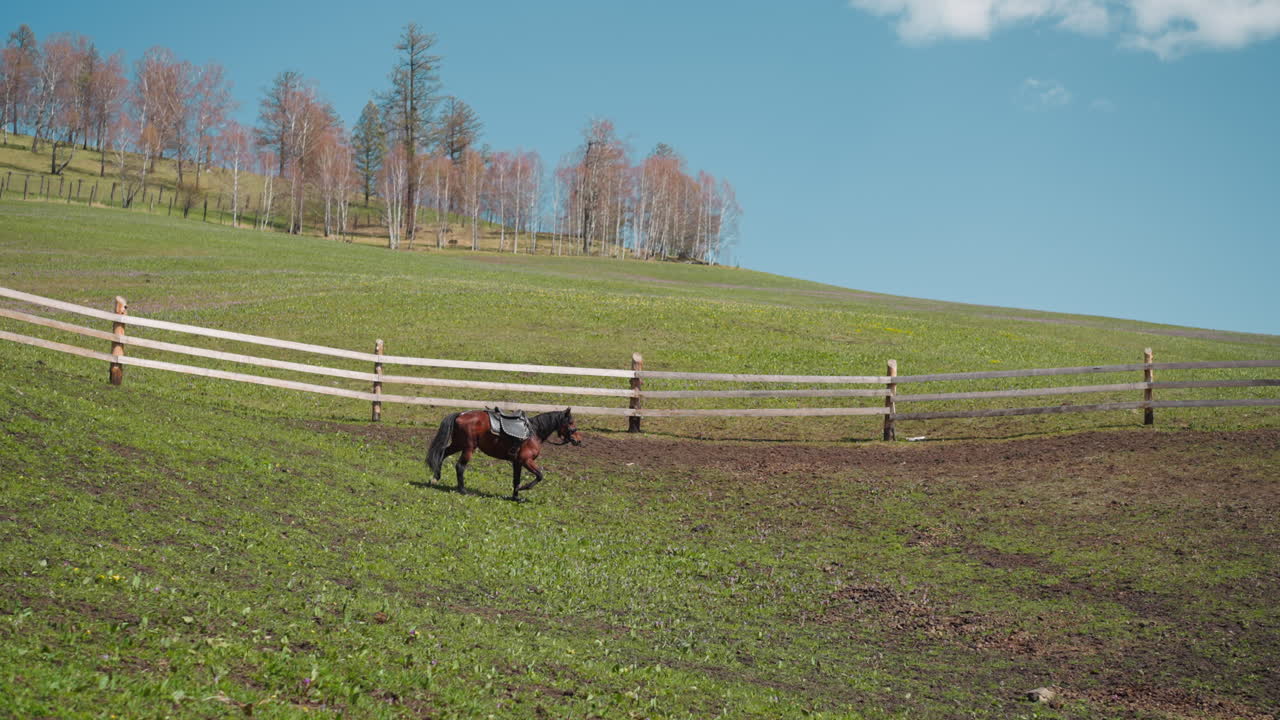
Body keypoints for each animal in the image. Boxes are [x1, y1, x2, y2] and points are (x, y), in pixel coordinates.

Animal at [426, 408, 582, 501]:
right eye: (571, 422)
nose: (578, 440)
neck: (533, 432)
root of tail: (461, 414)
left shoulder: (517, 462)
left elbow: (516, 479)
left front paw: (516, 497)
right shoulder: (526, 460)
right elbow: (539, 475)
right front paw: (523, 488)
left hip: (458, 444)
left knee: (442, 454)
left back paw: (435, 477)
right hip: (468, 448)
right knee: (460, 466)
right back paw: (463, 490)